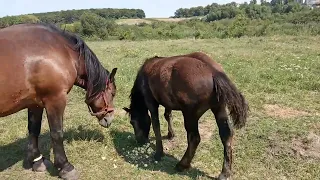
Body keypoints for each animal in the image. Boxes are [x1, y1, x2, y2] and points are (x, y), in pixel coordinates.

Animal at [0, 23, 117, 179]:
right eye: (113, 93)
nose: (109, 119)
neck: (63, 51)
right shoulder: (55, 100)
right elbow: (57, 133)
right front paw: (65, 167)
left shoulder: (35, 102)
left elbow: (34, 129)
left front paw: (37, 161)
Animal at [124, 51, 249, 180]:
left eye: (132, 122)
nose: (139, 141)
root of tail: (213, 72)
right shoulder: (167, 103)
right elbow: (168, 115)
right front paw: (171, 134)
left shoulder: (151, 102)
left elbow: (156, 125)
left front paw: (159, 153)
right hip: (219, 108)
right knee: (226, 135)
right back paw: (225, 172)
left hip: (190, 115)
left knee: (194, 138)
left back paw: (182, 164)